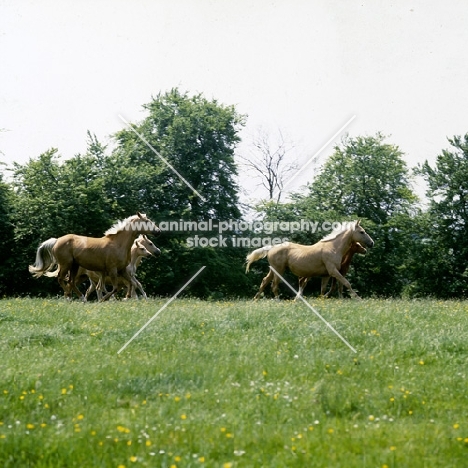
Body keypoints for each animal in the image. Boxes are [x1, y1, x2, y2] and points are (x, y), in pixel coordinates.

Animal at [30, 214, 161, 302]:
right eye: (146, 221)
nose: (158, 231)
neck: (118, 244)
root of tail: (57, 240)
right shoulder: (112, 270)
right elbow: (115, 288)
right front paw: (104, 299)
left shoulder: (122, 270)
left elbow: (131, 283)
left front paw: (126, 297)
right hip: (66, 264)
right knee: (61, 279)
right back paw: (70, 297)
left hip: (75, 266)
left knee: (71, 282)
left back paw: (80, 298)